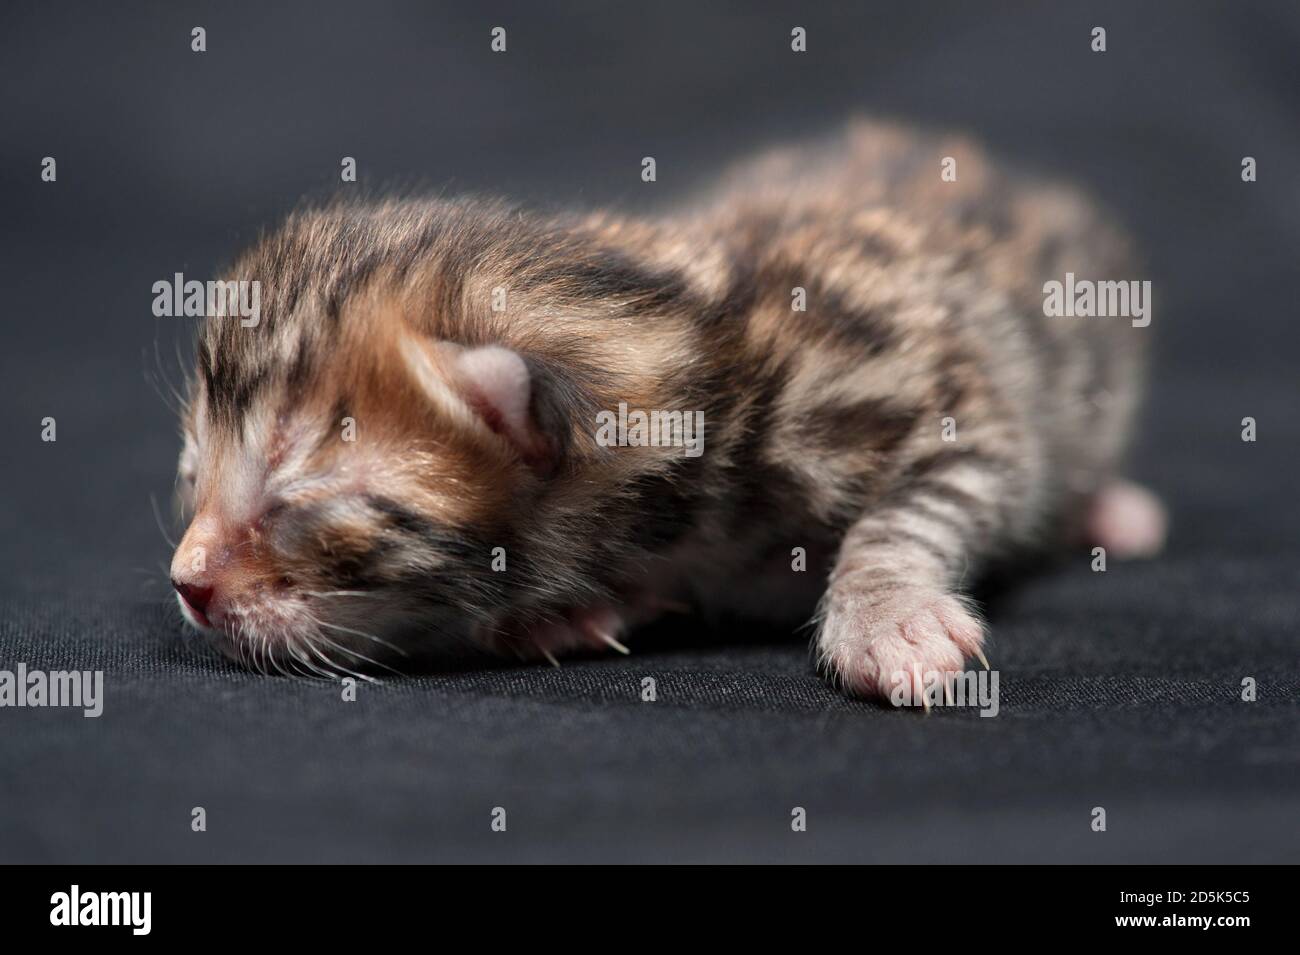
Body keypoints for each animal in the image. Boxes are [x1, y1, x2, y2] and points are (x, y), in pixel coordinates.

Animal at [167, 119, 1164, 701]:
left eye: (293, 503)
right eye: (192, 476)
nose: (187, 584)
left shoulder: (948, 404)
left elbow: (912, 508)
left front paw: (889, 618)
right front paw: (565, 612)